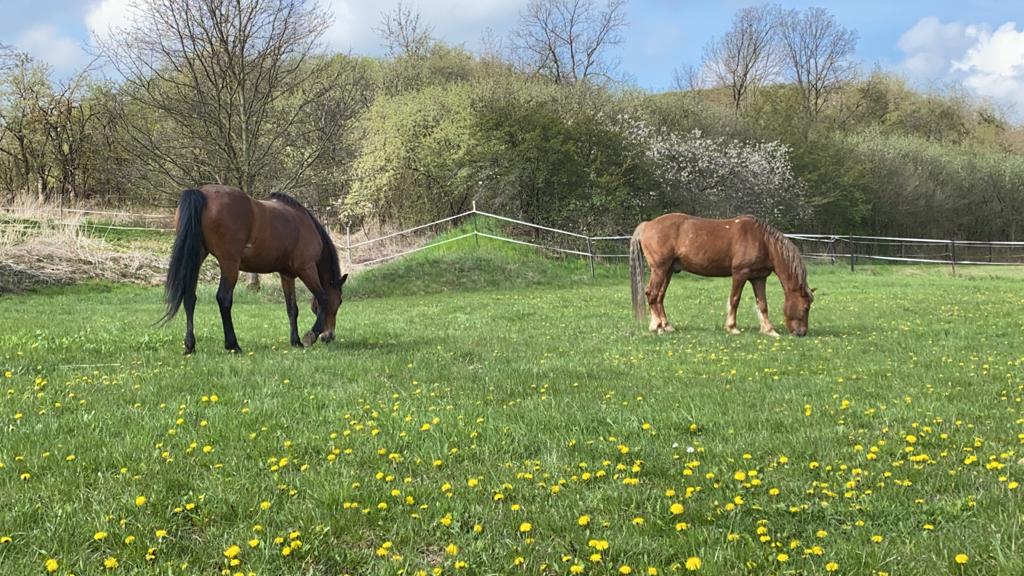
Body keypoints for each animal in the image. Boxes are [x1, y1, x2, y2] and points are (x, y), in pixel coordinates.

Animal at [160, 184, 347, 354]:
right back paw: (233, 345)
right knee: (224, 299)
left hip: (196, 256)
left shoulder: (287, 276)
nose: (329, 337)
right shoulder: (306, 268)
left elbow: (292, 309)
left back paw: (190, 345)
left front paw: (296, 342)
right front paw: (310, 335)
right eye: (339, 301)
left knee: (189, 298)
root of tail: (202, 193)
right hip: (229, 264)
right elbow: (322, 298)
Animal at [629, 213, 814, 337]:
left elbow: (762, 304)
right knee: (652, 294)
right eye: (806, 307)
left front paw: (769, 330)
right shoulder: (740, 273)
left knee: (659, 297)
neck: (763, 241)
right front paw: (732, 327)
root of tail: (647, 225)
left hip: (667, 271)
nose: (801, 333)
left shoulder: (758, 277)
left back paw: (666, 325)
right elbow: (734, 300)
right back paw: (658, 326)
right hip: (659, 270)